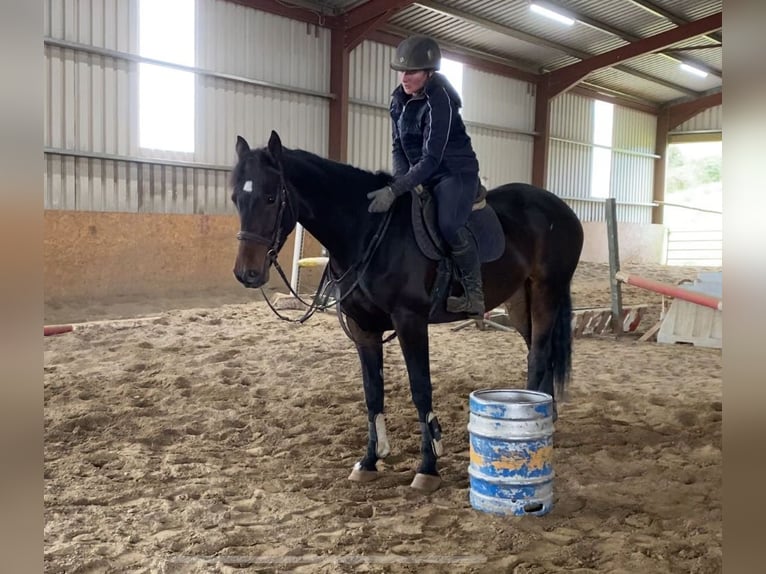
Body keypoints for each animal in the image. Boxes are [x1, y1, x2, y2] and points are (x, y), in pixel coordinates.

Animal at [231, 130, 584, 493]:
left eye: (271, 198)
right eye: (236, 198)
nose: (247, 274)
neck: (368, 231)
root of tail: (558, 207)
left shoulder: (410, 321)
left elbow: (420, 389)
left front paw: (428, 467)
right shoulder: (363, 328)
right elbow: (373, 393)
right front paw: (369, 461)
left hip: (546, 292)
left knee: (539, 355)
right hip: (519, 302)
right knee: (537, 351)